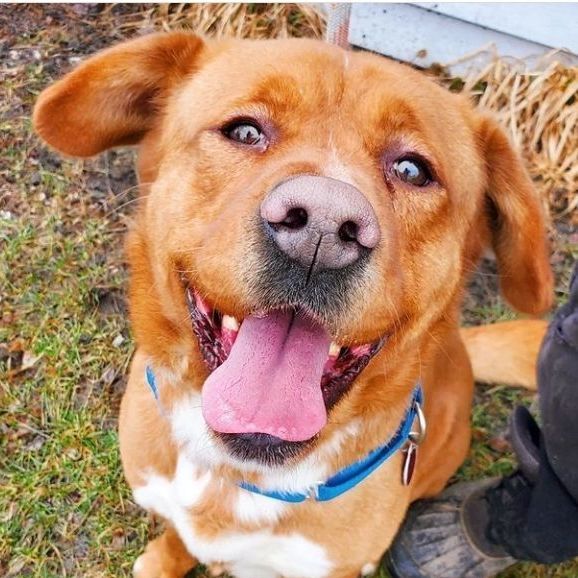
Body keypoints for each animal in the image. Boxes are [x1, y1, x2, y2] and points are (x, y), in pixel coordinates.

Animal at [33, 31, 552, 576]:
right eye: (244, 131)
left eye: (413, 169)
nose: (321, 229)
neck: (238, 472)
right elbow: (178, 536)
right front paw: (164, 560)